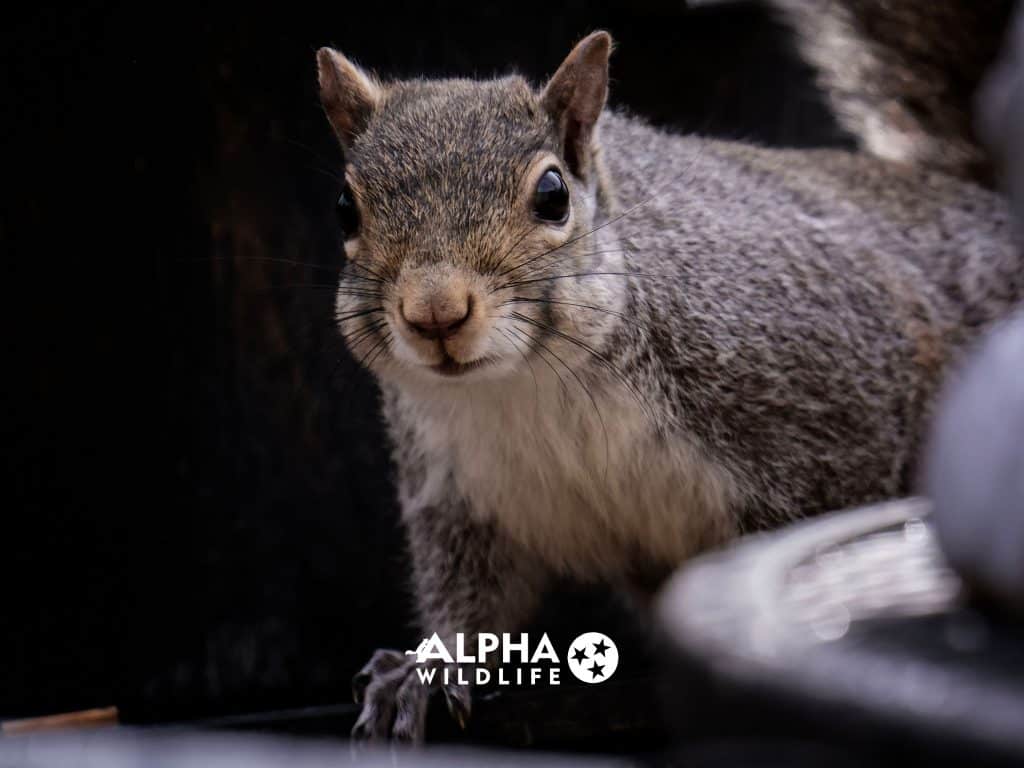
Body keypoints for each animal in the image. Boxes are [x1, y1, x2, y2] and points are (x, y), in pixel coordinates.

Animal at [315, 0, 1019, 745]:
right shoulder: (460, 489)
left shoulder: (830, 418)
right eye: (345, 208)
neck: (528, 385)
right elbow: (471, 595)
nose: (435, 312)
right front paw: (424, 669)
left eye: (552, 195)